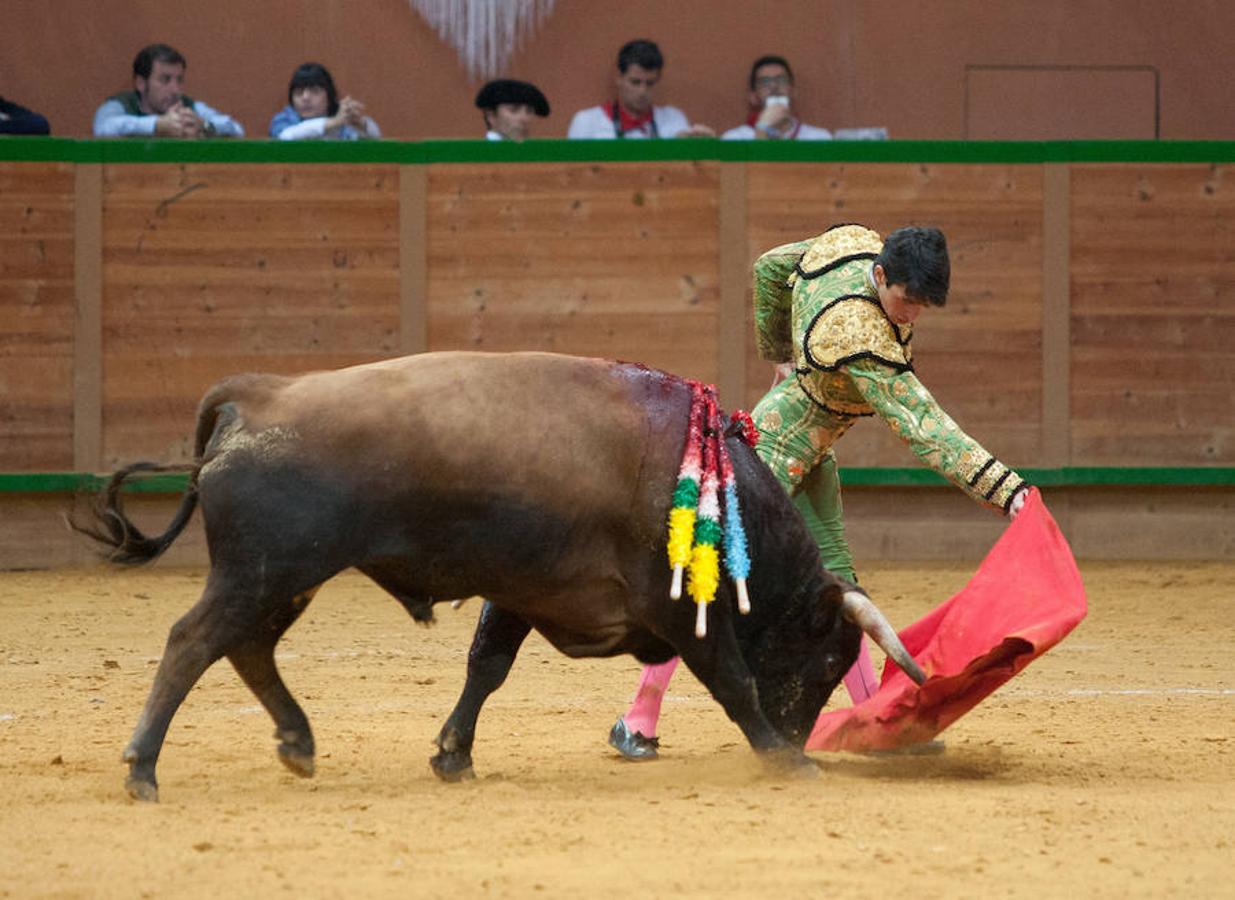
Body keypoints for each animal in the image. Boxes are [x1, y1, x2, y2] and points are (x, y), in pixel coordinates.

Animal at [72, 350, 923, 800]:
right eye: (826, 659)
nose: (802, 733)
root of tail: (257, 394)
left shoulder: (520, 592)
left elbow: (486, 666)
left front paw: (453, 755)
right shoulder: (681, 611)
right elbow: (733, 680)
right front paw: (782, 757)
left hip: (287, 578)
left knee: (248, 647)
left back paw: (296, 742)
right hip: (263, 570)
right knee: (193, 640)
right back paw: (143, 768)